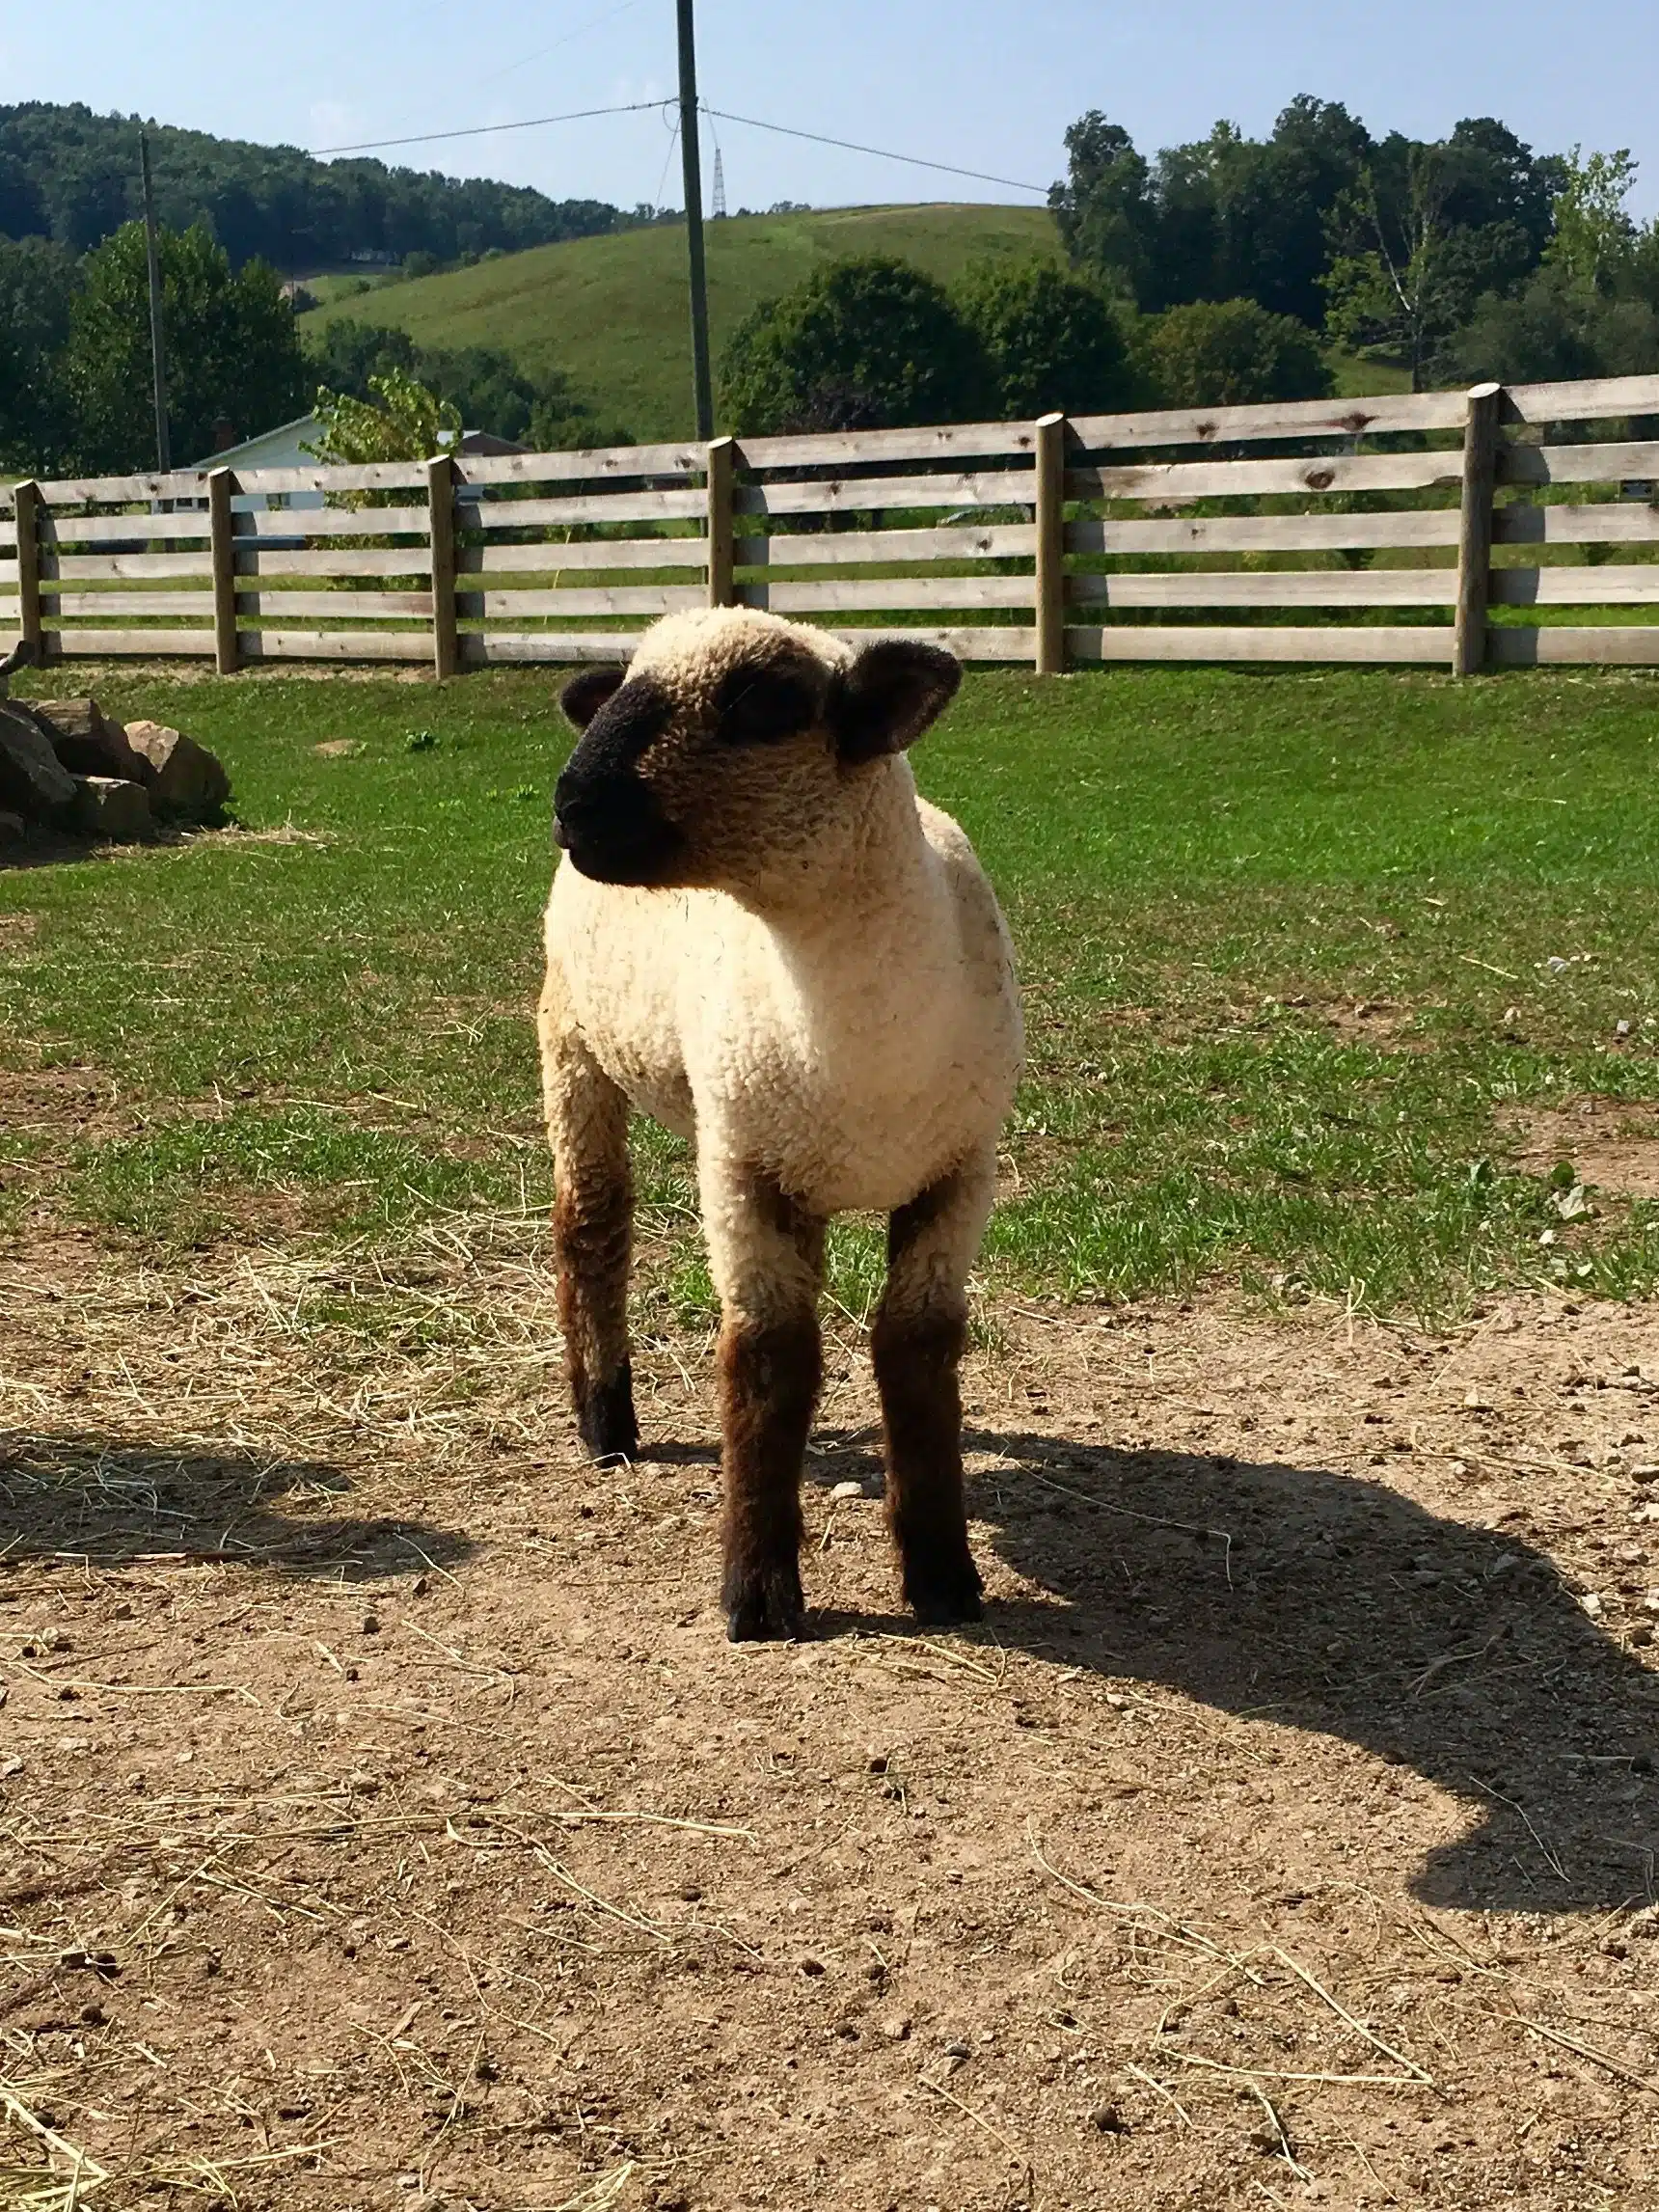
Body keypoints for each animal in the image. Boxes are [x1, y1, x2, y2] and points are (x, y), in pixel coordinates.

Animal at [539, 606, 1023, 1641]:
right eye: (625, 684)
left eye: (763, 702)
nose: (571, 803)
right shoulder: (739, 1168)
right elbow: (764, 1360)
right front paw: (757, 1593)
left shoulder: (960, 1174)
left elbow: (915, 1351)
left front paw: (944, 1576)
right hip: (574, 1039)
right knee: (592, 1226)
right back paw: (606, 1425)